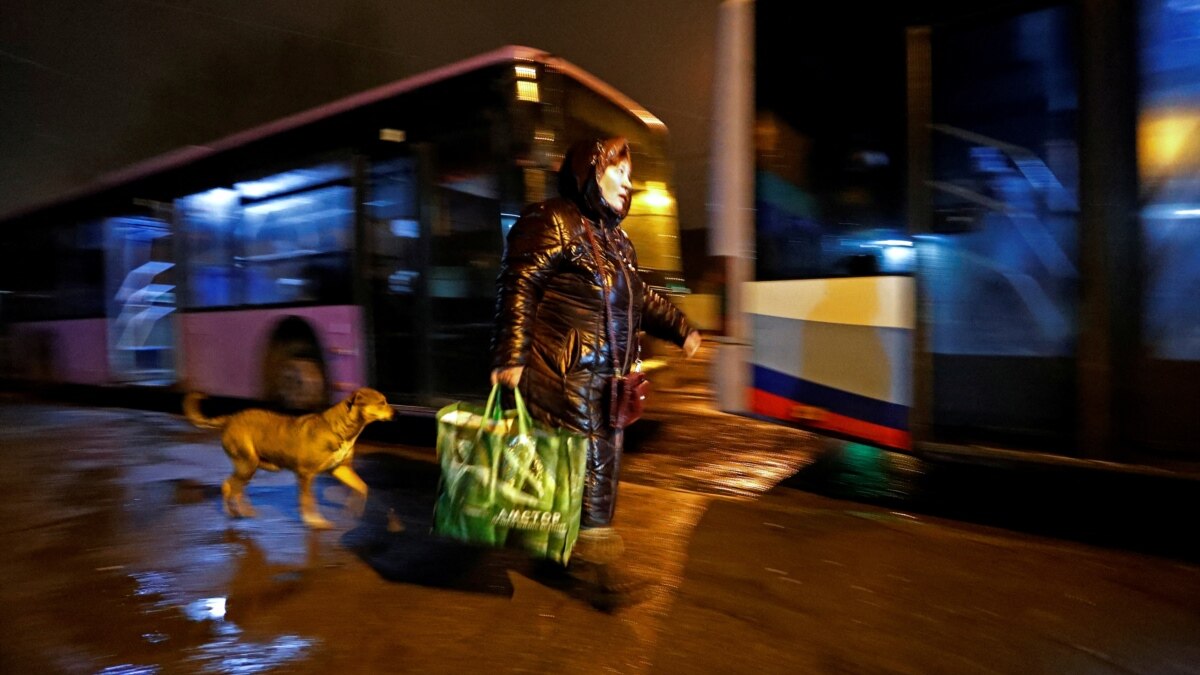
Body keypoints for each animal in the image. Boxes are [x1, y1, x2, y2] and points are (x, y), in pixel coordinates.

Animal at [182, 389, 396, 526]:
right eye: (382, 402)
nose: (396, 412)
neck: (341, 429)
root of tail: (230, 419)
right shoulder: (306, 474)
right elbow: (308, 500)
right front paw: (315, 521)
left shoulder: (340, 469)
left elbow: (362, 487)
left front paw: (353, 509)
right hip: (246, 465)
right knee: (229, 486)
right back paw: (233, 512)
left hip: (249, 467)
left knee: (236, 489)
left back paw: (243, 511)